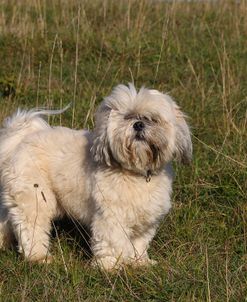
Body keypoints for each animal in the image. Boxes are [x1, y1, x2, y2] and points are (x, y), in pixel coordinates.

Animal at [0, 84, 192, 270]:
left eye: (152, 119)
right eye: (126, 117)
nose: (138, 124)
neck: (137, 174)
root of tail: (21, 139)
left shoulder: (145, 220)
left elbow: (139, 243)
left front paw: (140, 262)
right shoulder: (111, 217)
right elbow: (112, 242)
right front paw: (111, 266)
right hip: (35, 197)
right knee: (31, 226)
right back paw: (39, 257)